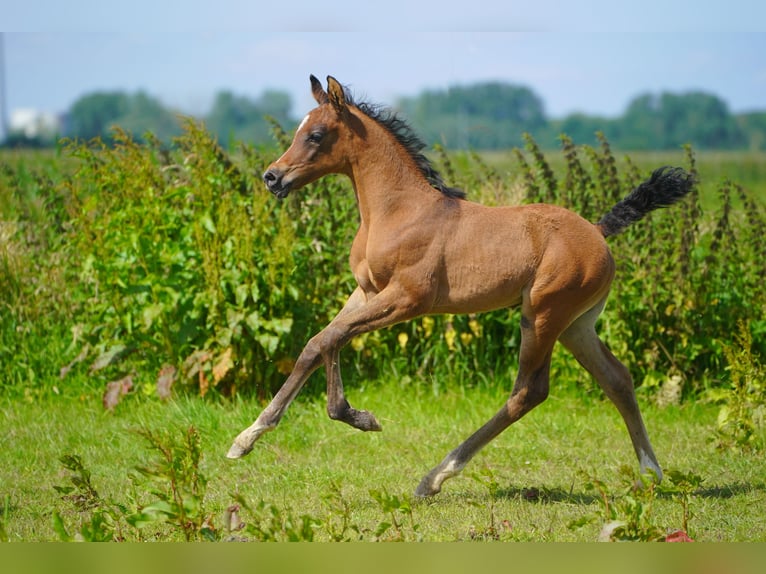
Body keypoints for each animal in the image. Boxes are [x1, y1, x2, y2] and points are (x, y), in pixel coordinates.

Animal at [226, 75, 696, 500]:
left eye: (316, 134)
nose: (272, 177)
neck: (397, 211)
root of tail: (598, 232)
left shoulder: (407, 299)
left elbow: (332, 338)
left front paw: (356, 416)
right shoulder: (366, 292)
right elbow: (317, 344)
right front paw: (247, 438)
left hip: (544, 314)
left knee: (529, 392)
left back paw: (434, 478)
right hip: (577, 325)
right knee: (616, 379)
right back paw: (651, 473)